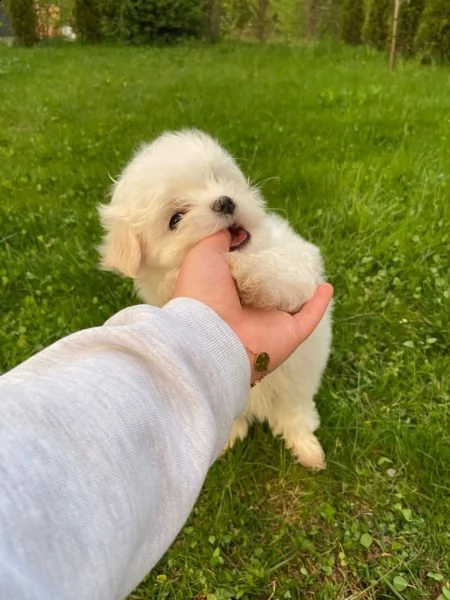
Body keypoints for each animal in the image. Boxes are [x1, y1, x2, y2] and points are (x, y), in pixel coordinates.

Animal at [97, 129, 330, 472]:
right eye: (176, 219)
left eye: (218, 179)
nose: (224, 201)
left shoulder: (300, 260)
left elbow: (285, 273)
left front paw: (250, 274)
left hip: (298, 385)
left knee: (295, 414)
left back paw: (307, 449)